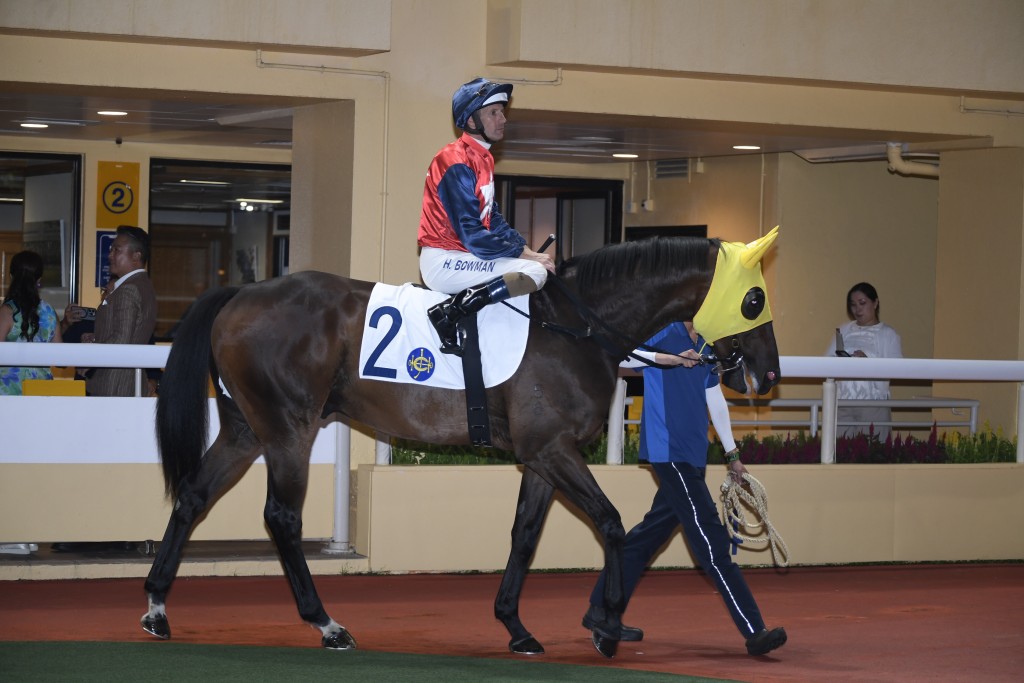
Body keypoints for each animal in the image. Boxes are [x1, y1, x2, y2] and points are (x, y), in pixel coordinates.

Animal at [140, 233, 778, 655]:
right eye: (754, 300)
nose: (768, 375)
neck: (576, 329)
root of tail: (240, 294)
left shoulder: (542, 458)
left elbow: (525, 534)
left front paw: (515, 626)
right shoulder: (554, 450)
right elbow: (612, 522)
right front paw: (608, 624)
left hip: (245, 429)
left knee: (194, 496)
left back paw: (156, 607)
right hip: (288, 427)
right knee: (281, 517)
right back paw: (326, 623)